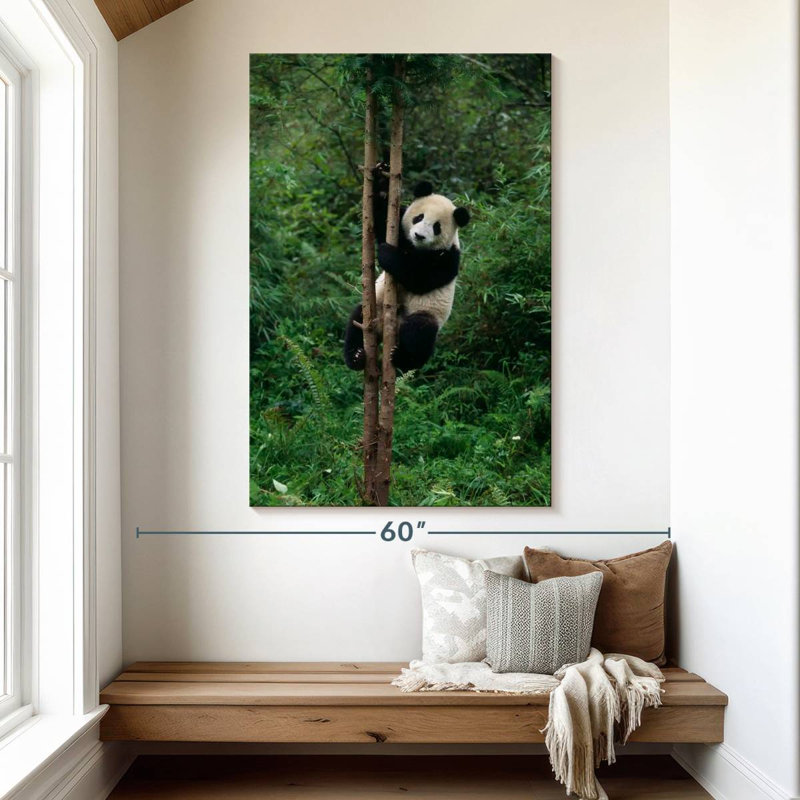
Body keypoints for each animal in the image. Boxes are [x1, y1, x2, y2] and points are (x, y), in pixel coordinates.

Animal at [344, 169, 470, 372]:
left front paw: (387, 254)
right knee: (357, 320)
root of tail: (387, 330)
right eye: (419, 217)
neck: (416, 248)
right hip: (376, 309)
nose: (419, 235)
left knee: (419, 332)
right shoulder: (401, 231)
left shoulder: (448, 258)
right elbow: (382, 221)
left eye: (436, 227)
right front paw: (381, 182)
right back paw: (356, 356)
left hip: (425, 313)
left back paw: (401, 358)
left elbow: (419, 279)